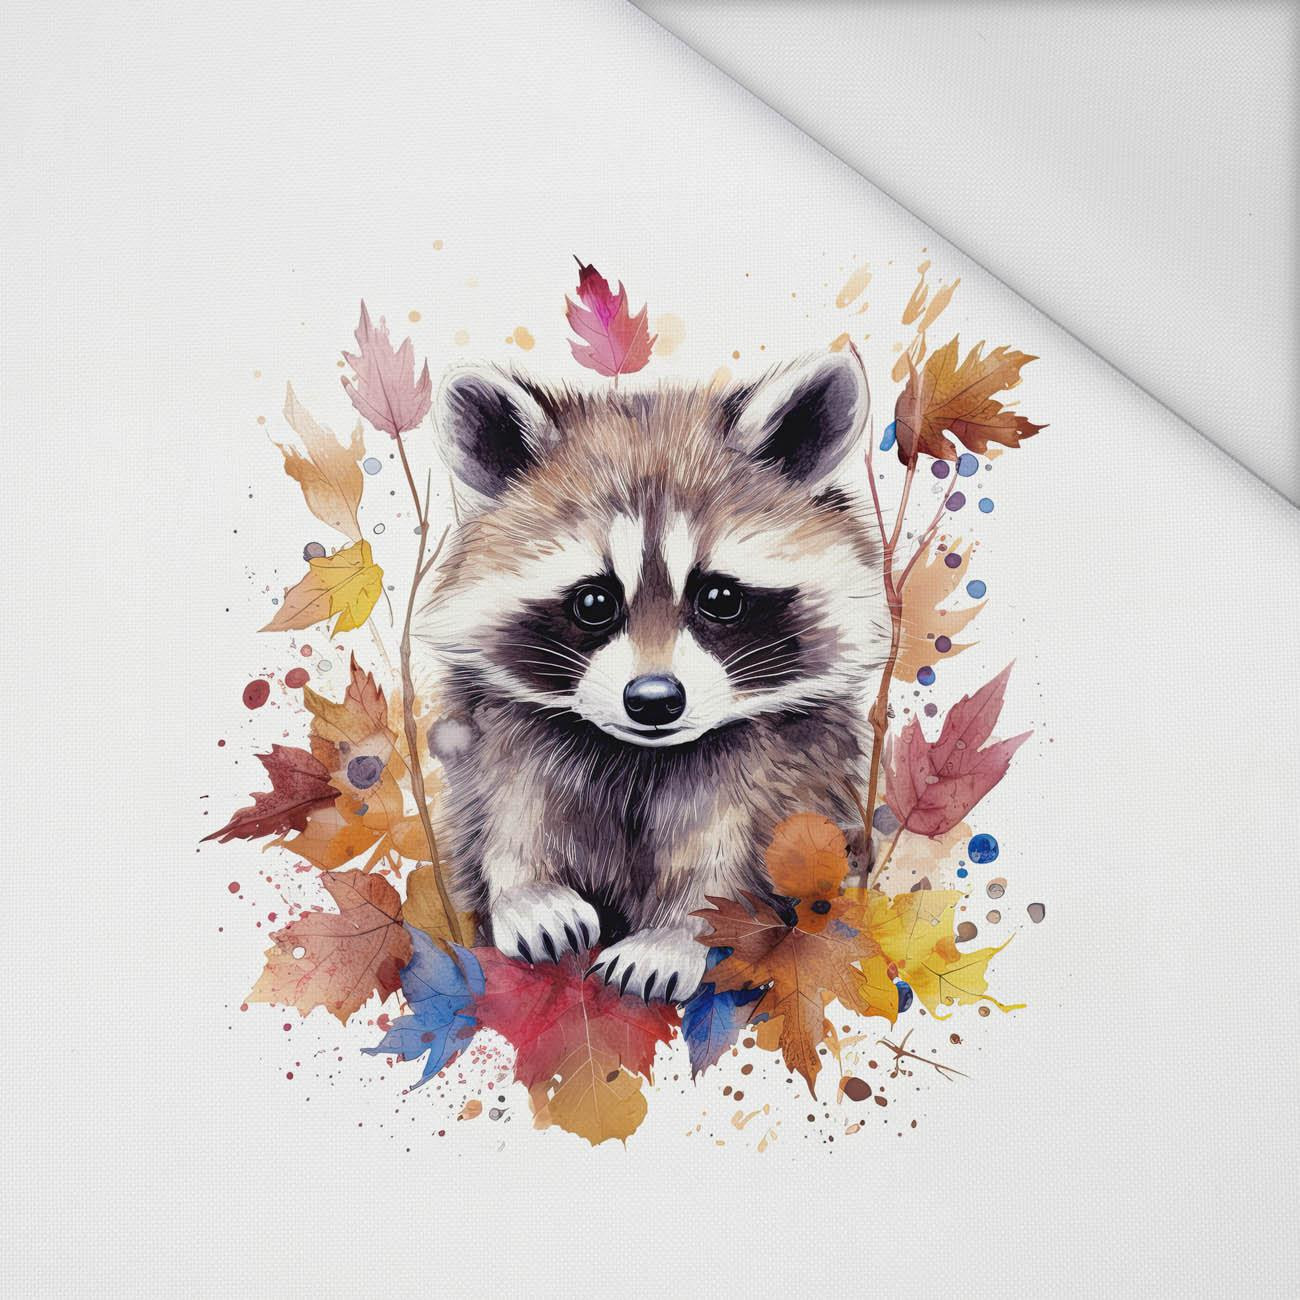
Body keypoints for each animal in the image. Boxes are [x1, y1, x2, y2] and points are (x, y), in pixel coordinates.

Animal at [415, 352, 889, 1002]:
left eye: (720, 598)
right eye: (594, 602)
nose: (654, 700)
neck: (641, 755)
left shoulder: (784, 756)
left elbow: (741, 849)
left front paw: (679, 931)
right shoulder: (504, 726)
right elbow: (507, 805)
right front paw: (526, 887)